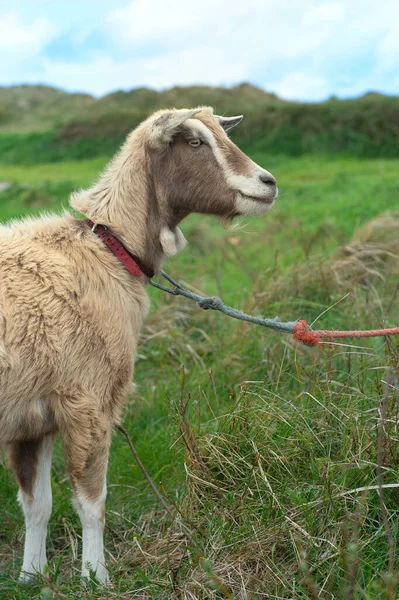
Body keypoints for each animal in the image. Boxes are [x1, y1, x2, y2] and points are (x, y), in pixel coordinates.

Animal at [0, 105, 278, 584]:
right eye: (194, 142)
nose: (268, 183)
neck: (108, 250)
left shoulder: (33, 419)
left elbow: (37, 505)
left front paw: (32, 578)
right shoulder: (87, 400)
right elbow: (91, 504)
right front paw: (95, 577)